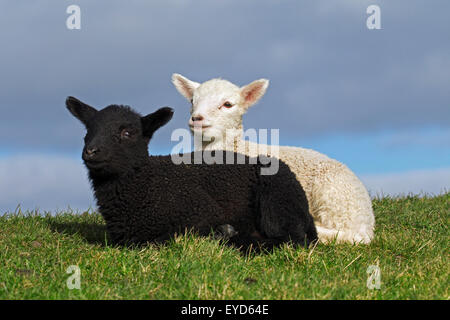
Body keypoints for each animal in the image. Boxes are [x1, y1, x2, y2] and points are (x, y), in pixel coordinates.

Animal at [66, 96, 316, 251]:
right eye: (88, 130)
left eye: (127, 132)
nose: (91, 151)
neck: (148, 184)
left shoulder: (202, 212)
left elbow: (170, 237)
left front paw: (224, 233)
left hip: (277, 200)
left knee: (291, 240)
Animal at [171, 74, 374, 244]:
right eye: (192, 101)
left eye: (228, 104)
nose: (197, 118)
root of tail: (368, 217)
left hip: (335, 198)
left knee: (350, 235)